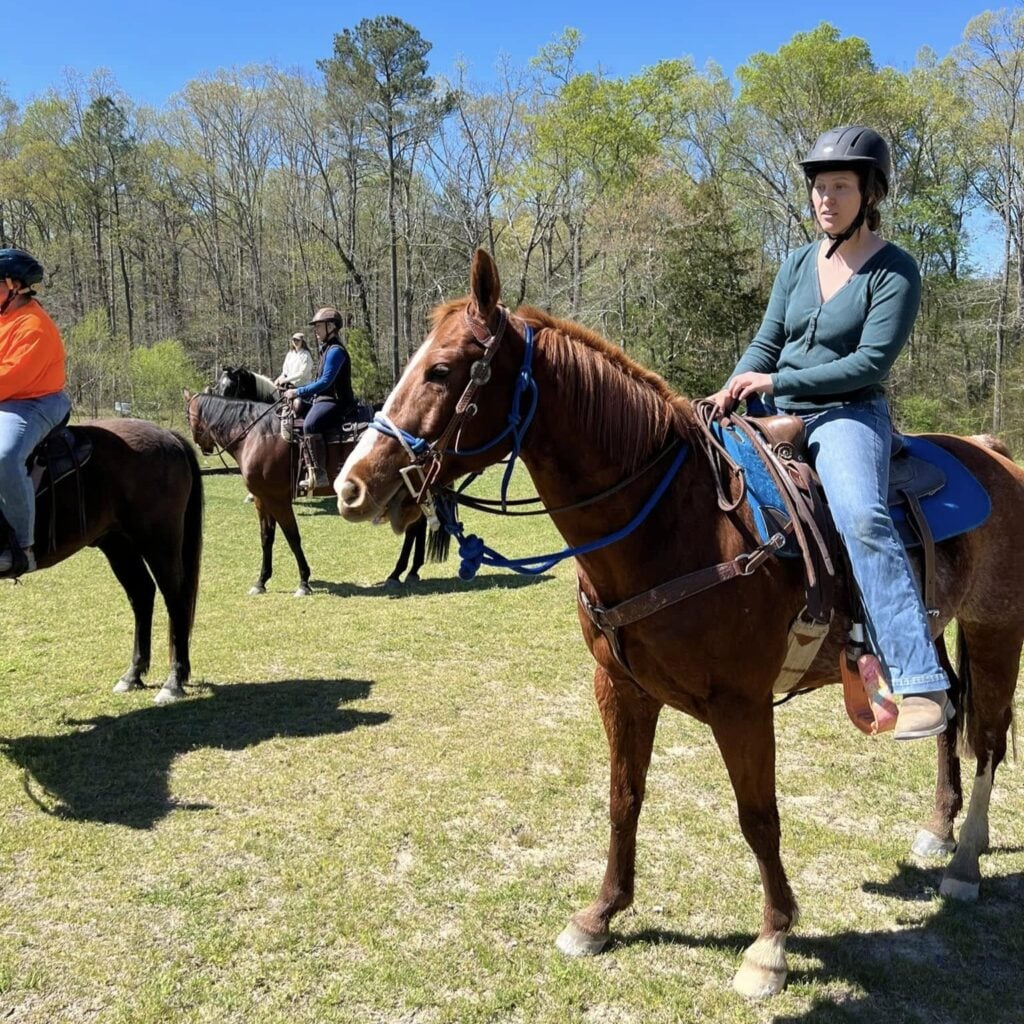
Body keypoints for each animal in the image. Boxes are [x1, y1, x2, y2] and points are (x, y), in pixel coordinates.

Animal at [3, 419, 203, 704]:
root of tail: (169, 435)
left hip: (159, 540)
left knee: (175, 598)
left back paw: (173, 681)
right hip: (117, 543)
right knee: (142, 594)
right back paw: (132, 675)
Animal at [184, 390, 366, 596]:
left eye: (188, 417)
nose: (204, 448)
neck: (255, 436)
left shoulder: (278, 499)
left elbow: (292, 537)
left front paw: (304, 582)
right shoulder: (262, 499)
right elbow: (266, 537)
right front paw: (261, 581)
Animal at [335, 249, 1024, 997]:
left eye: (441, 370)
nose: (350, 486)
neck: (674, 521)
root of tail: (993, 452)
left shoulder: (741, 704)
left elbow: (759, 817)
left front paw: (770, 943)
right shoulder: (619, 688)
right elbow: (623, 797)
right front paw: (600, 916)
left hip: (996, 629)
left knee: (987, 738)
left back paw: (965, 863)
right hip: (930, 628)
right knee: (947, 715)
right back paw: (938, 829)